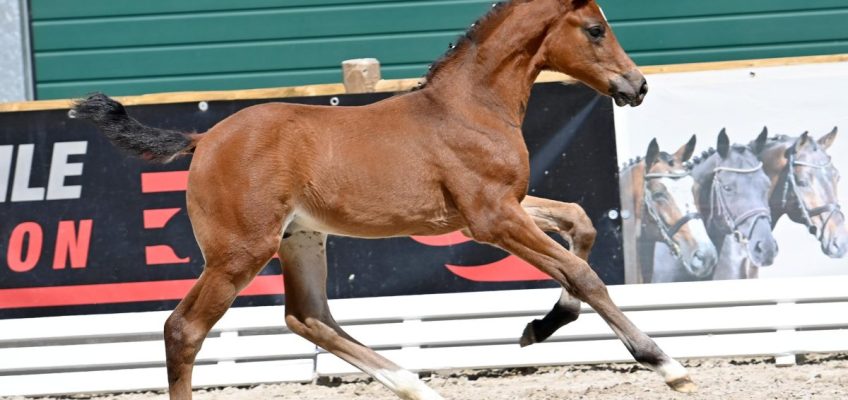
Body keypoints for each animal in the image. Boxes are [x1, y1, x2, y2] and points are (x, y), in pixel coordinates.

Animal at [69, 1, 696, 398]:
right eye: (594, 29)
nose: (637, 86)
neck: (470, 106)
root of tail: (203, 139)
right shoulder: (491, 219)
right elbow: (582, 273)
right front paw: (665, 365)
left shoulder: (501, 207)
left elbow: (582, 225)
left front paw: (538, 328)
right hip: (238, 254)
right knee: (184, 330)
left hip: (301, 239)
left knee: (308, 317)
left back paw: (418, 387)